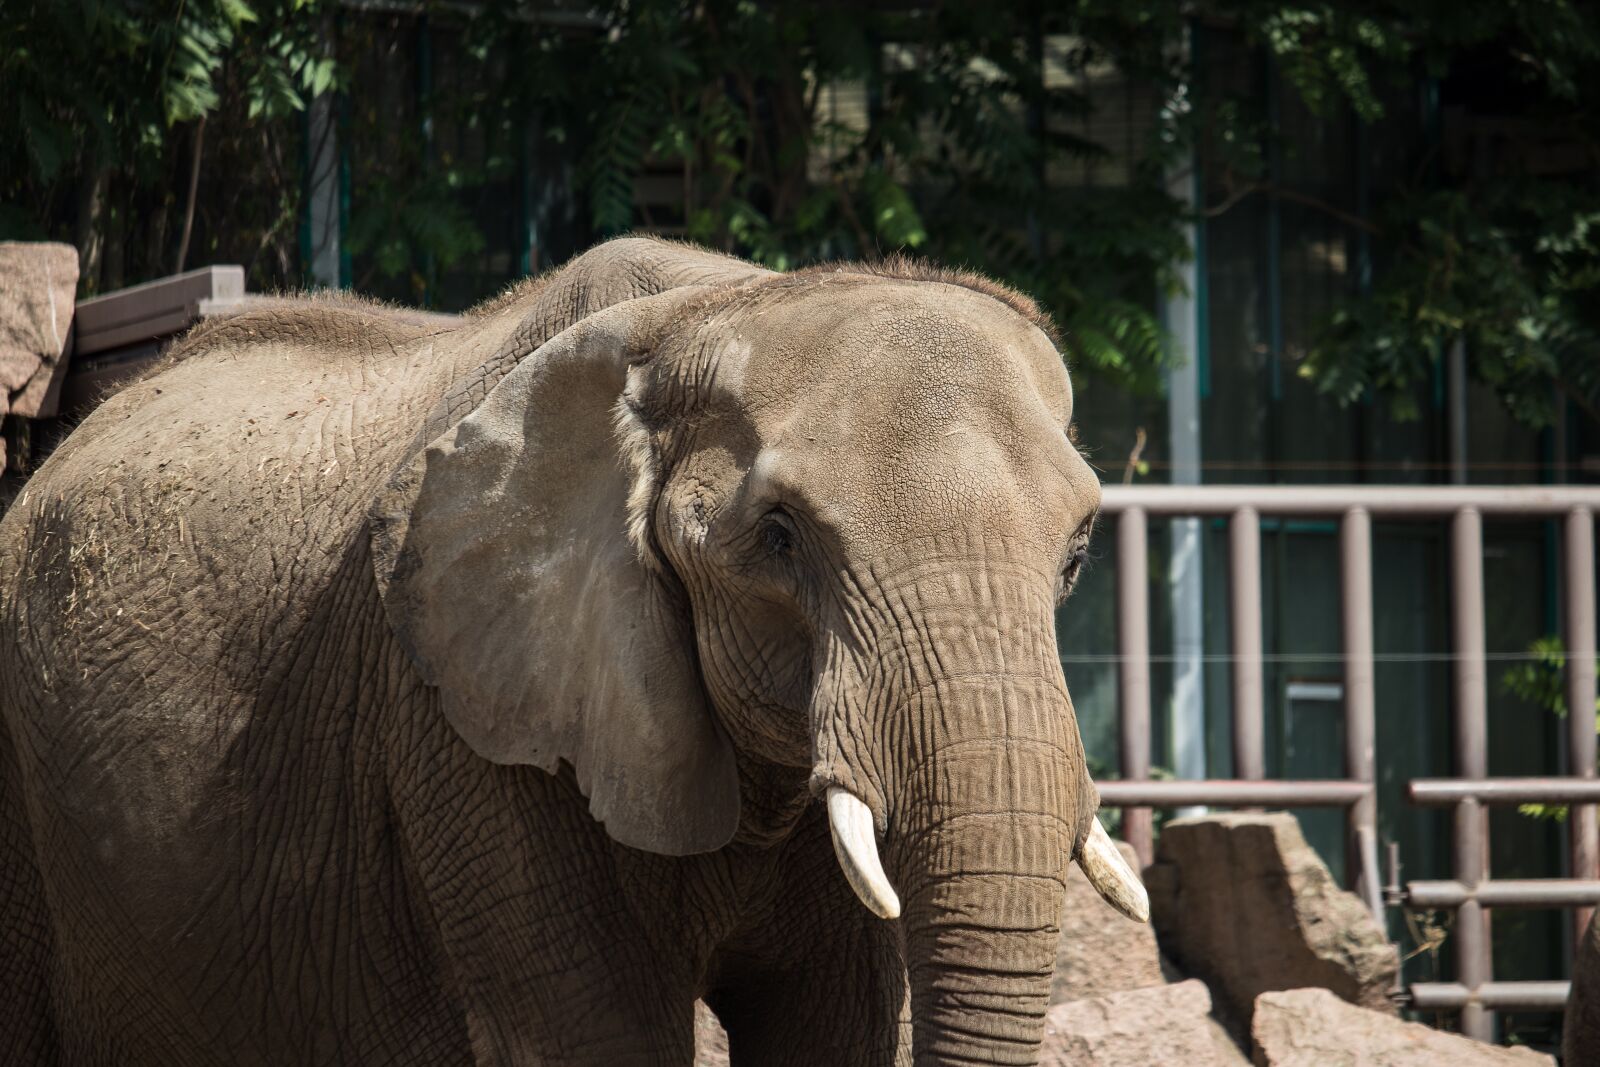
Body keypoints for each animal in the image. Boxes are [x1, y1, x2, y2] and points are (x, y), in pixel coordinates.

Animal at [0, 236, 1144, 1066]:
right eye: (779, 537)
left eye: (1079, 549)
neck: (714, 309)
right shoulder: (464, 729)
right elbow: (600, 1037)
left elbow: (833, 1025)